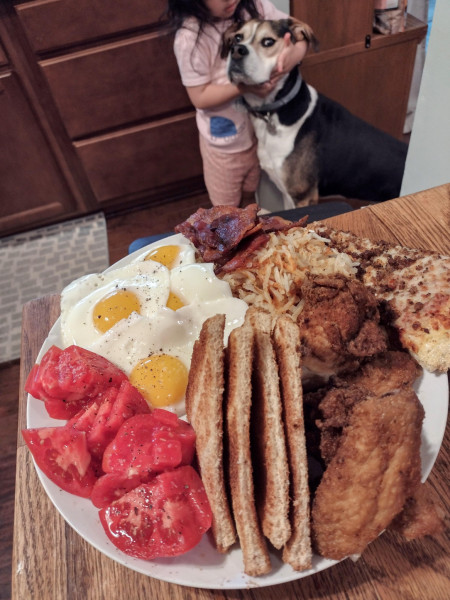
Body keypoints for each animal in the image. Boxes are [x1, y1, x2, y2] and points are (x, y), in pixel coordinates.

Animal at [223, 19, 410, 209]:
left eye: (268, 41)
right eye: (238, 37)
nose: (237, 50)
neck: (275, 111)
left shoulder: (303, 196)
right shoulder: (286, 193)